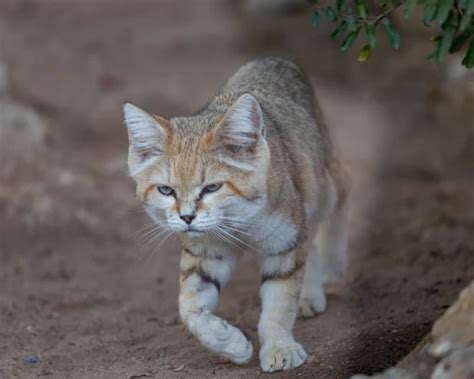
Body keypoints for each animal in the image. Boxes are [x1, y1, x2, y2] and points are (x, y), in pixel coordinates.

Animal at [124, 58, 350, 372]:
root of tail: (273, 58)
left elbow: (279, 303)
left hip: (320, 187)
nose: (186, 217)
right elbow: (188, 307)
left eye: (212, 187)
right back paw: (309, 294)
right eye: (166, 190)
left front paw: (279, 347)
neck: (238, 222)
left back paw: (332, 263)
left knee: (343, 190)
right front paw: (228, 342)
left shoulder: (283, 242)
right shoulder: (205, 253)